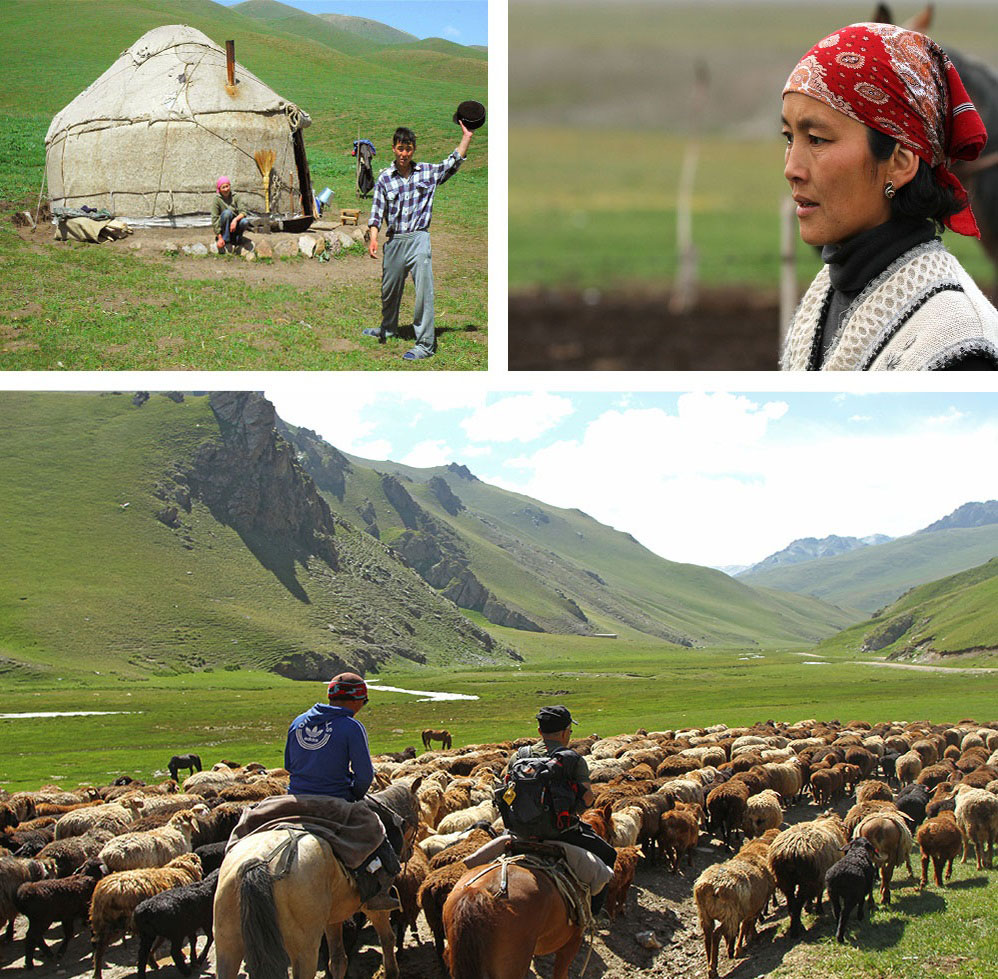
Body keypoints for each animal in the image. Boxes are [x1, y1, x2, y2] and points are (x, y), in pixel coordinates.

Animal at [215, 780, 422, 979]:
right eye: (418, 808)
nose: (411, 851)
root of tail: (259, 862)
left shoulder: (333, 917)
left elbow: (337, 961)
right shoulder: (375, 906)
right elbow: (387, 939)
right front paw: (392, 972)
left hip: (227, 946)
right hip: (304, 948)